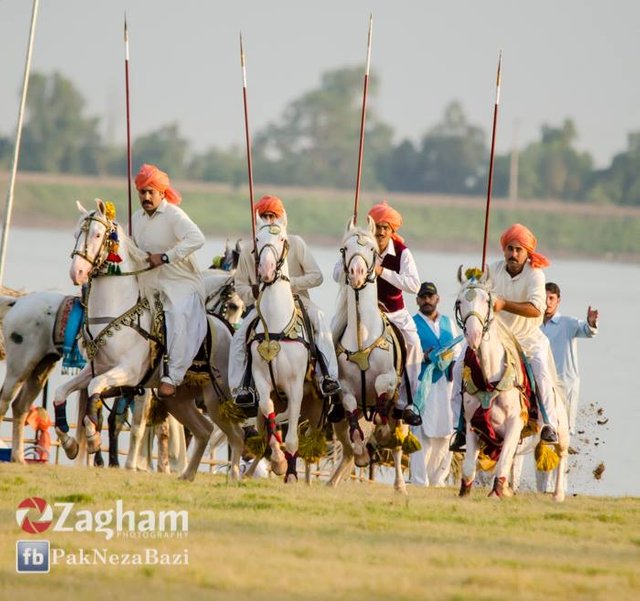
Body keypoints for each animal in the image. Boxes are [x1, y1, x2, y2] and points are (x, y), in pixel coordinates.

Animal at [50, 199, 242, 480]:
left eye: (97, 234)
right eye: (76, 234)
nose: (78, 272)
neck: (116, 313)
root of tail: (229, 331)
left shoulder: (127, 373)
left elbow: (97, 391)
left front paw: (93, 437)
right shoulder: (97, 370)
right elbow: (61, 392)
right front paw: (70, 443)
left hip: (218, 399)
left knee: (238, 435)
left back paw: (235, 476)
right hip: (177, 399)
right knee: (205, 430)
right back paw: (187, 475)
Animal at [328, 217, 408, 492]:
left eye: (371, 250)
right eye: (345, 249)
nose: (356, 274)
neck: (363, 335)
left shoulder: (388, 380)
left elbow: (382, 409)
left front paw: (376, 440)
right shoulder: (345, 391)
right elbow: (355, 431)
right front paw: (363, 452)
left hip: (400, 414)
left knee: (397, 443)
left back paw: (400, 485)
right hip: (340, 420)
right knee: (347, 448)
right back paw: (333, 480)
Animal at [456, 268, 568, 502]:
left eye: (486, 300)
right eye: (459, 302)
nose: (474, 336)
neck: (489, 379)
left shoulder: (515, 423)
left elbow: (503, 462)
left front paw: (496, 493)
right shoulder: (472, 425)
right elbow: (469, 466)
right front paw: (465, 492)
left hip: (561, 429)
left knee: (562, 453)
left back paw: (558, 494)